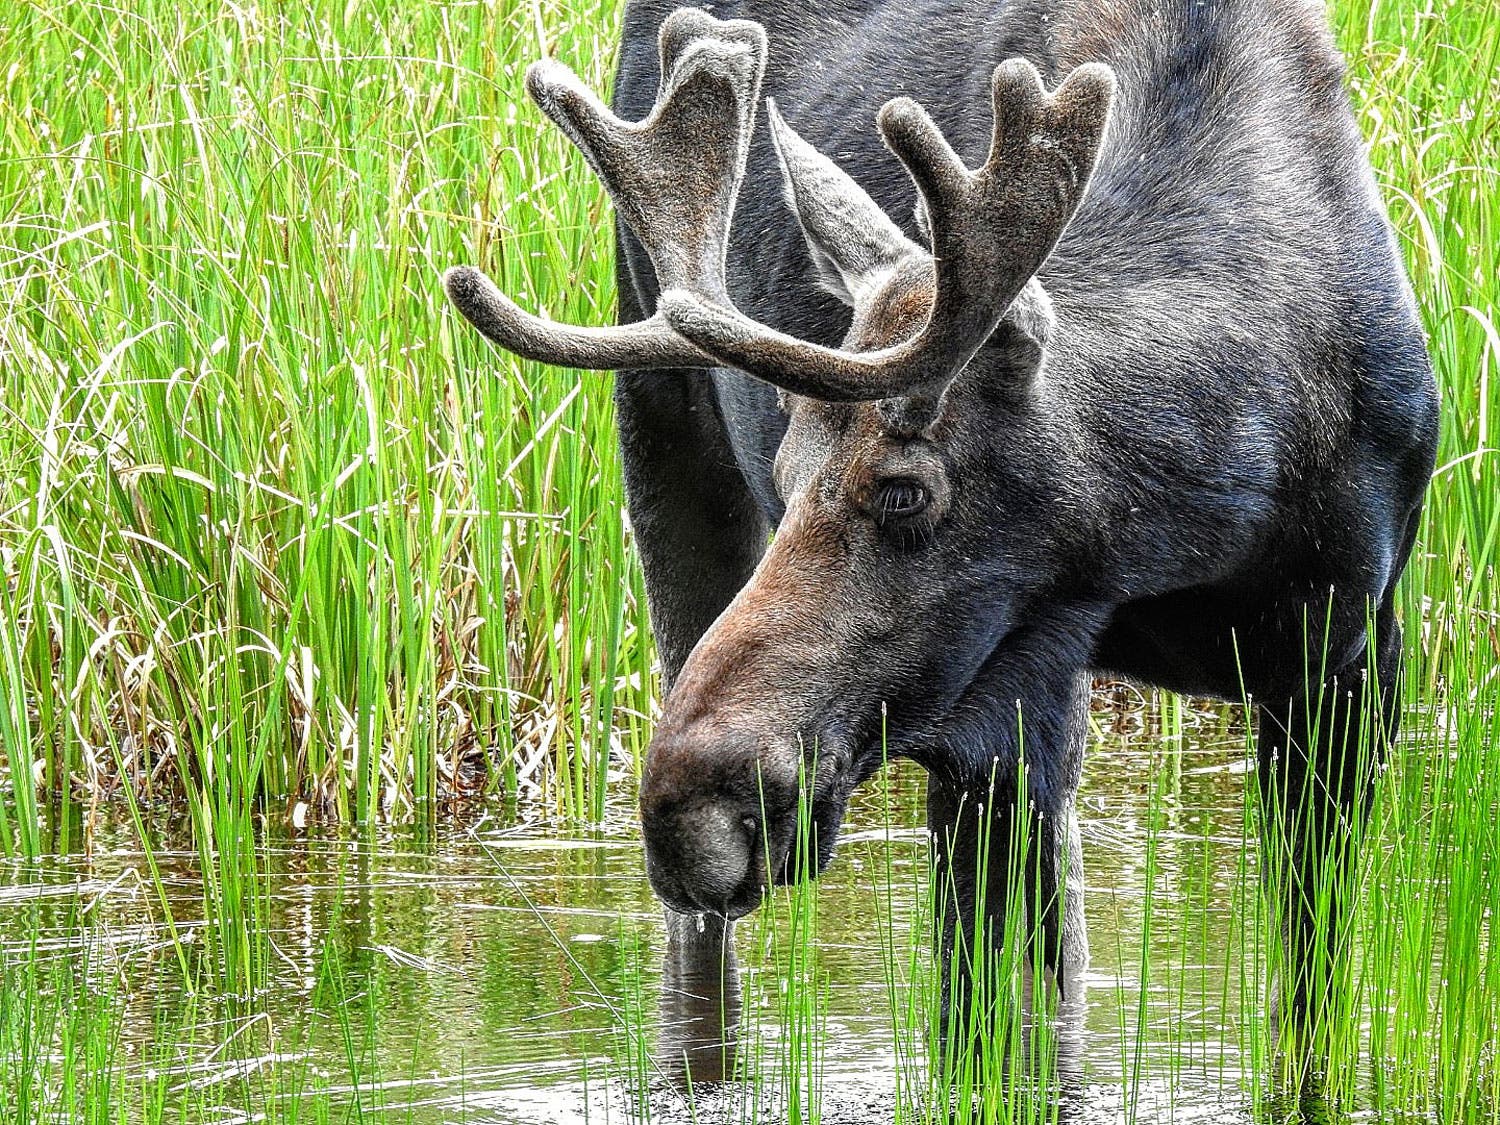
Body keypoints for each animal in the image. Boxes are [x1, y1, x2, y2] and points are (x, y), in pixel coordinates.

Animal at [445, 0, 1438, 1064]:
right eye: (787, 472)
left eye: (903, 492)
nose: (689, 806)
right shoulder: (996, 704)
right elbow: (984, 1016)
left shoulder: (1354, 659)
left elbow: (1308, 991)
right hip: (662, 429)